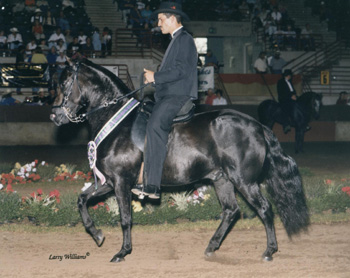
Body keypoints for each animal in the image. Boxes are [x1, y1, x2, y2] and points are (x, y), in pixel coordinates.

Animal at [50, 58, 308, 262]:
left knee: (264, 209)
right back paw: (211, 247)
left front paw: (122, 252)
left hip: (244, 180)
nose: (54, 116)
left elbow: (125, 218)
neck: (116, 121)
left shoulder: (122, 181)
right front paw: (97, 234)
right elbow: (82, 200)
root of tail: (257, 125)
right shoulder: (109, 181)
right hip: (222, 179)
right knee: (231, 211)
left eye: (64, 83)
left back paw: (269, 251)